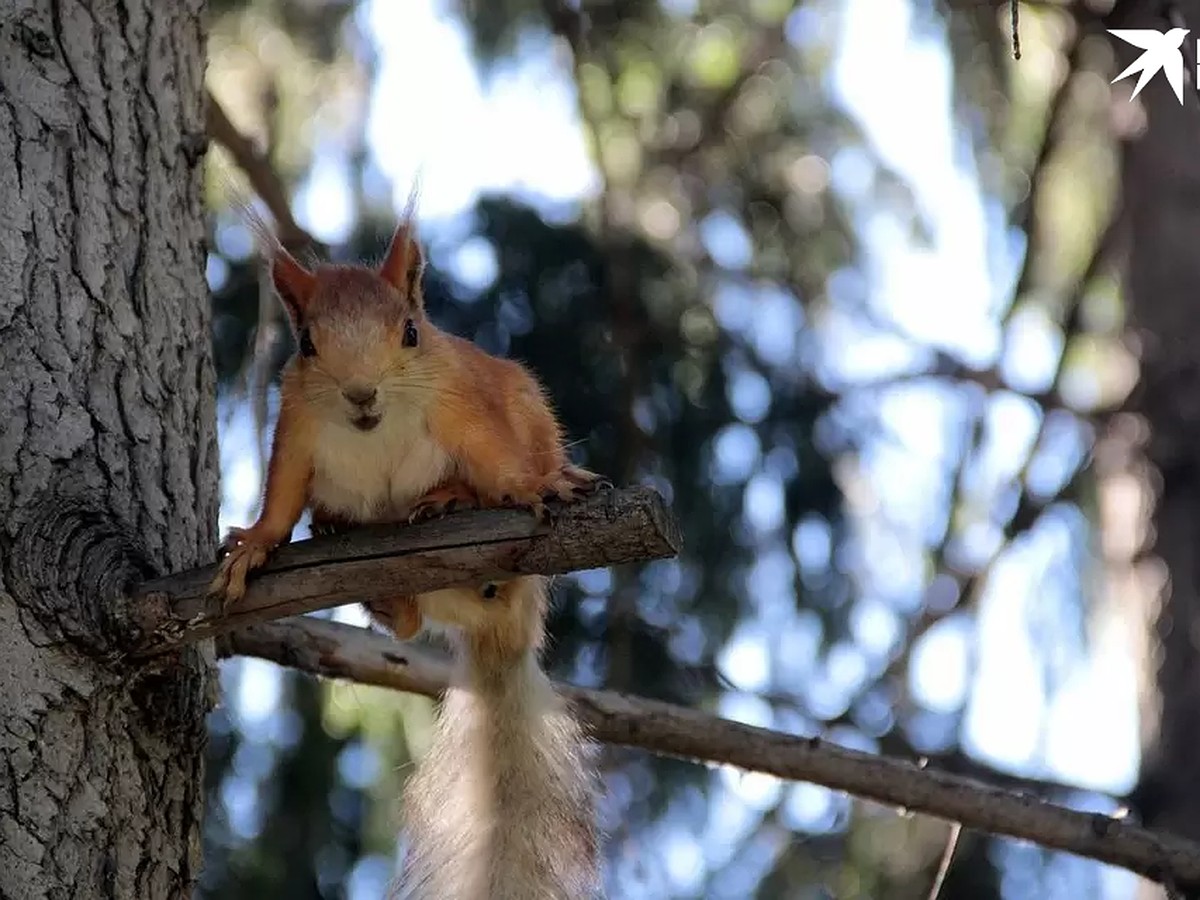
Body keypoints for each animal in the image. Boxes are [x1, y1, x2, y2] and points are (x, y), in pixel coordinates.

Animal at [206, 199, 609, 643]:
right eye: (307, 344)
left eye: (411, 333)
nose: (361, 393)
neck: (375, 431)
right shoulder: (297, 421)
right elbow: (284, 490)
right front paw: (254, 545)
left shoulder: (457, 399)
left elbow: (494, 453)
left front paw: (533, 485)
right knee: (409, 624)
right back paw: (359, 562)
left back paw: (451, 497)